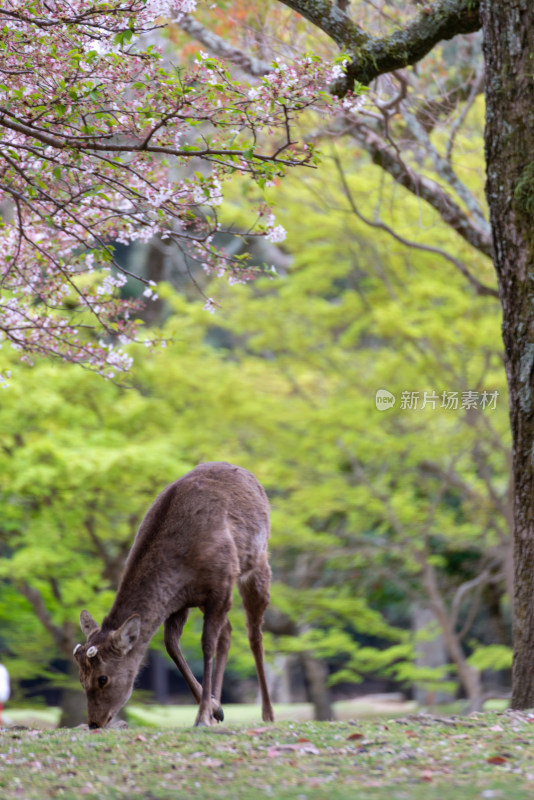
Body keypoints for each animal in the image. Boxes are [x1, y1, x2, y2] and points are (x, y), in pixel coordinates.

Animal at [73, 462, 274, 732]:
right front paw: (213, 707)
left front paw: (202, 716)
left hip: (257, 565)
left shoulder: (221, 585)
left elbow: (206, 645)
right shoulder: (180, 602)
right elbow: (171, 645)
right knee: (229, 632)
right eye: (80, 678)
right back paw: (219, 706)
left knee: (254, 634)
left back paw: (268, 713)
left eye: (102, 678)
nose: (95, 722)